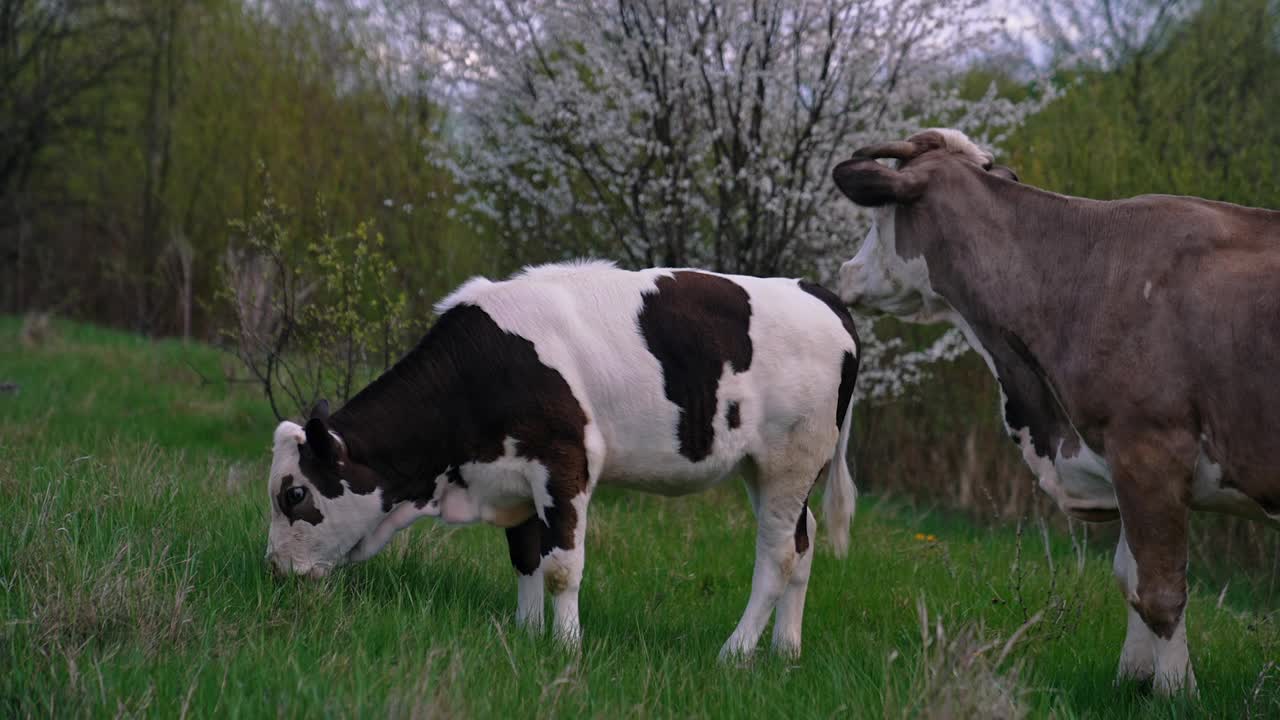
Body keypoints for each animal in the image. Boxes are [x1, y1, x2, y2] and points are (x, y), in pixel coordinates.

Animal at [264, 258, 860, 655]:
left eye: (294, 493)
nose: (274, 570)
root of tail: (818, 292)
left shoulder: (563, 461)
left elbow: (560, 567)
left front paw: (567, 647)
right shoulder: (515, 476)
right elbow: (526, 556)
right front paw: (528, 635)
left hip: (790, 461)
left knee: (778, 556)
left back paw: (735, 654)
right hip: (766, 470)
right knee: (804, 542)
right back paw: (784, 651)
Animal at [829, 127, 1280, 691]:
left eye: (877, 217)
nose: (845, 274)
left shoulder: (1149, 448)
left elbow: (1159, 590)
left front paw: (1177, 692)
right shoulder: (1120, 460)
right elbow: (1129, 576)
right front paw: (1133, 680)